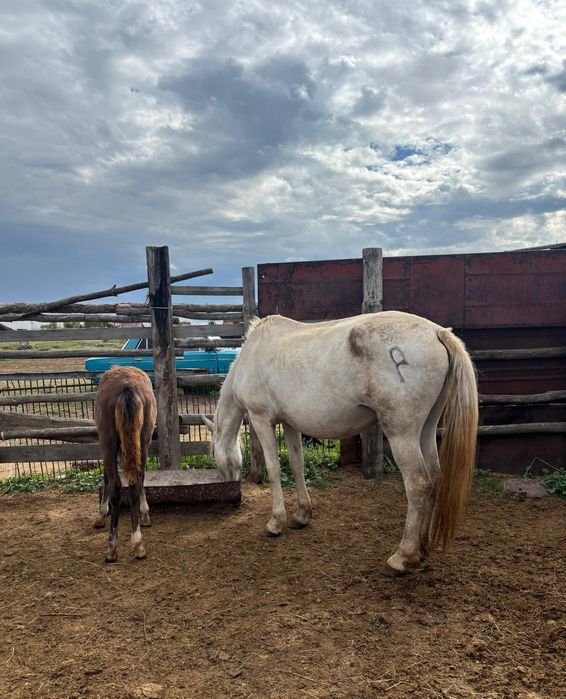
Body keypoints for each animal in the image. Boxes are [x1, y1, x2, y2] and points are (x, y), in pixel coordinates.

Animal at [93, 366, 157, 562]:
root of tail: (127, 386)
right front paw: (145, 515)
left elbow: (106, 476)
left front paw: (101, 514)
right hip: (142, 440)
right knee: (136, 482)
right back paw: (138, 545)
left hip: (108, 442)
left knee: (115, 484)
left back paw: (112, 549)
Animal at [203, 311, 478, 576]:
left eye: (214, 453)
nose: (232, 495)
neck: (252, 354)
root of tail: (437, 332)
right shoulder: (290, 424)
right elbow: (296, 465)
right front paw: (301, 516)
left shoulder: (261, 420)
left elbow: (274, 470)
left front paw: (275, 522)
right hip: (426, 429)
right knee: (434, 476)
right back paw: (422, 549)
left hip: (402, 434)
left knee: (419, 484)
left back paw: (402, 557)